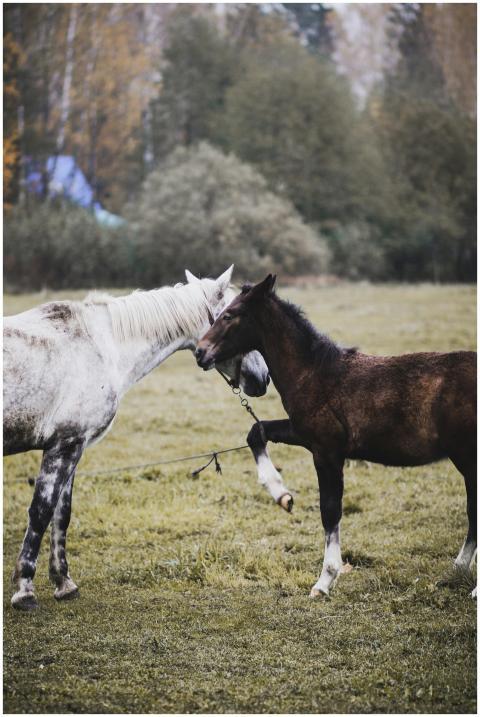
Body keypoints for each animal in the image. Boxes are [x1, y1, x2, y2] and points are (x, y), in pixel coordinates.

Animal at [4, 266, 270, 610]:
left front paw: (64, 583)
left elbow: (62, 515)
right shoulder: (63, 446)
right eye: (236, 318)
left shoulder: (72, 447)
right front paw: (24, 590)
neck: (102, 347)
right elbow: (41, 512)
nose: (264, 378)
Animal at [195, 275, 477, 599]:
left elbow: (330, 511)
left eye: (229, 315)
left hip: (467, 457)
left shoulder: (326, 450)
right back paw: (457, 571)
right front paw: (281, 494)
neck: (313, 372)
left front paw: (325, 581)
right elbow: (256, 432)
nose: (200, 352)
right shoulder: (302, 434)